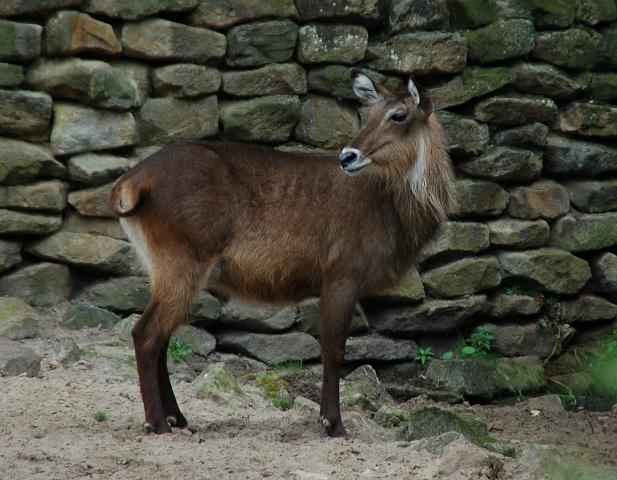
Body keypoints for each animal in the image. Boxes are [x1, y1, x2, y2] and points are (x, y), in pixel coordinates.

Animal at [110, 70, 454, 436]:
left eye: (398, 115)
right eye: (368, 114)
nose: (347, 157)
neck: (390, 204)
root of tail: (131, 182)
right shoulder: (342, 274)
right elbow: (334, 348)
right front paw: (333, 424)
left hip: (165, 271)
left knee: (159, 337)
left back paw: (178, 418)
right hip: (181, 266)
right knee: (146, 334)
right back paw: (159, 423)